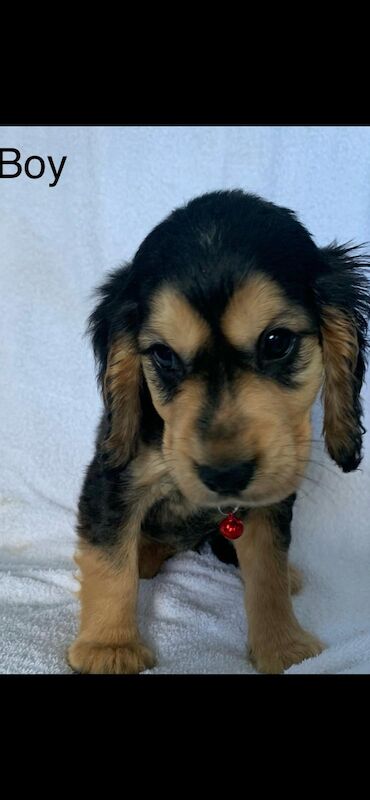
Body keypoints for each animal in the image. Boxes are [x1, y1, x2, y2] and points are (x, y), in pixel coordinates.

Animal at [67, 192, 370, 676]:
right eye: (164, 355)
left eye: (276, 341)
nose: (225, 475)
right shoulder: (111, 481)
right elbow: (109, 560)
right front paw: (108, 647)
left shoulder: (270, 498)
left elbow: (267, 570)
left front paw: (281, 645)